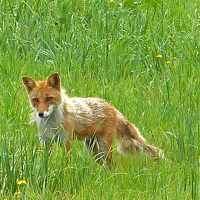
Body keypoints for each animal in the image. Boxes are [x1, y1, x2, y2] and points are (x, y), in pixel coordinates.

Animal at [21, 72, 163, 165]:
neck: (51, 124)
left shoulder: (66, 141)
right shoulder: (45, 141)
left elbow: (67, 162)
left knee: (113, 165)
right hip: (94, 150)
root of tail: (112, 107)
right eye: (35, 100)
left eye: (49, 98)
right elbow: (45, 162)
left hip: (103, 148)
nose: (41, 114)